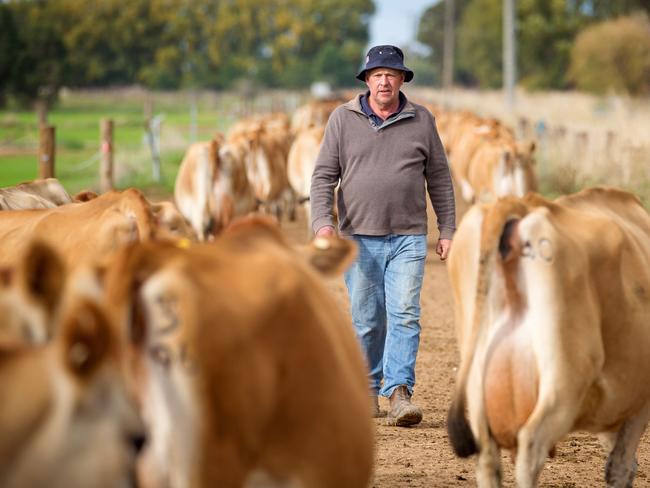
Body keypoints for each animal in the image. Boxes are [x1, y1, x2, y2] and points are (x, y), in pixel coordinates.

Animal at [448, 186, 648, 484]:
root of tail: (522, 204)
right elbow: (622, 466)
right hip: (565, 373)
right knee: (532, 445)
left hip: (477, 382)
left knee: (487, 458)